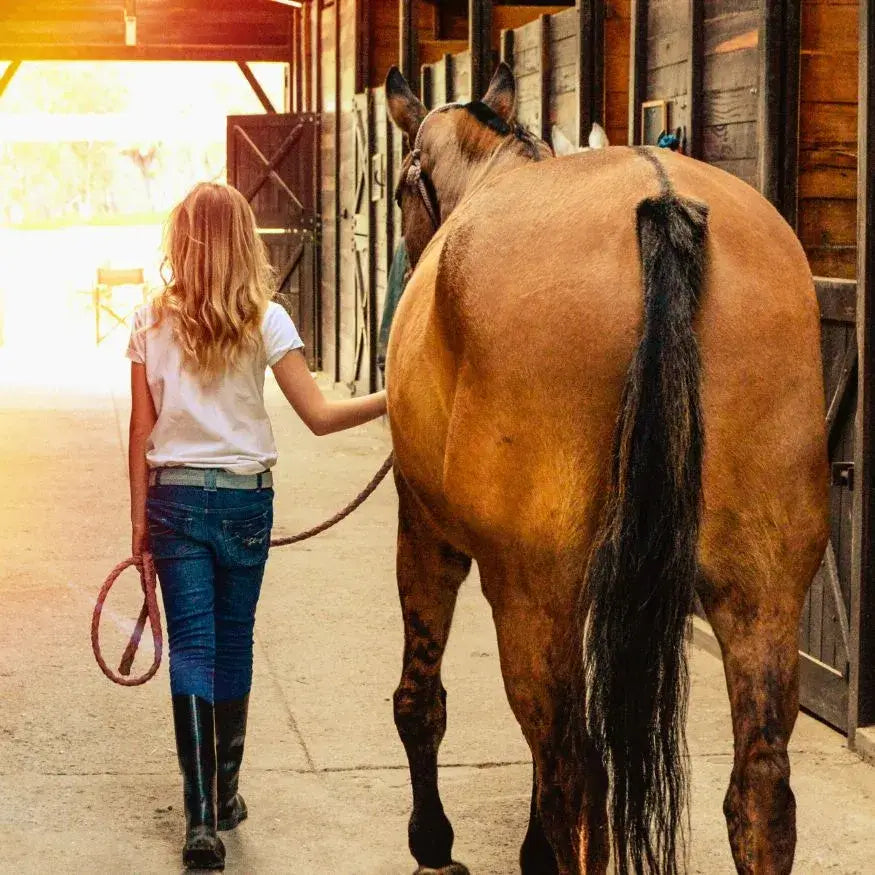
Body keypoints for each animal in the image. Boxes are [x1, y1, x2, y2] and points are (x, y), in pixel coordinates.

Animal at [382, 63, 828, 875]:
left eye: (402, 186)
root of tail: (661, 202)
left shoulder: (425, 530)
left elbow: (420, 701)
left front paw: (432, 840)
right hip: (763, 593)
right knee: (759, 791)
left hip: (532, 593)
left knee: (575, 775)